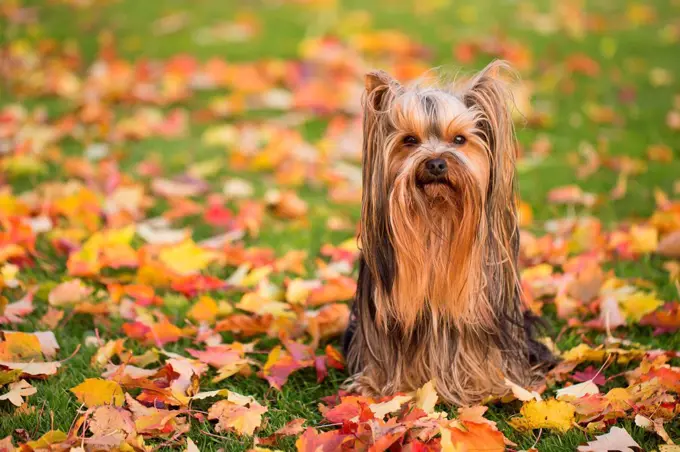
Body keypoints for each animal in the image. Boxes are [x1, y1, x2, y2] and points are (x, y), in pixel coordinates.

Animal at [342, 61, 556, 406]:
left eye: (459, 139)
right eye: (409, 140)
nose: (436, 163)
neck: (437, 219)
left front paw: (487, 386)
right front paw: (379, 387)